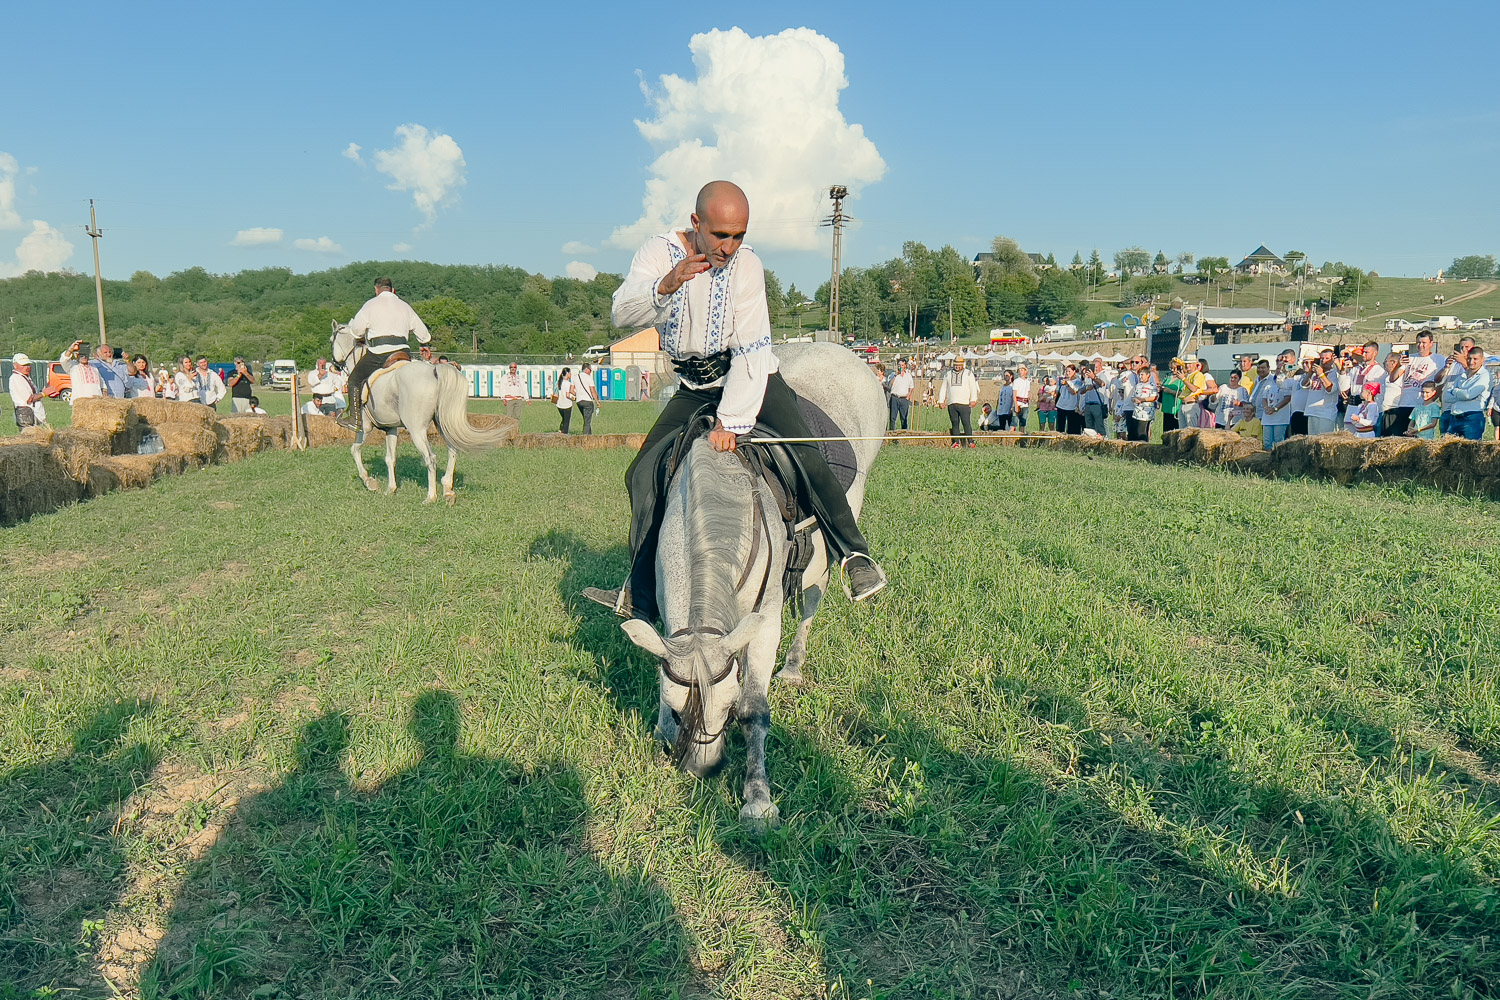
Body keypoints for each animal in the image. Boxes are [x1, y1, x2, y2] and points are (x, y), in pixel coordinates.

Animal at [328, 322, 516, 500]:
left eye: (331, 341)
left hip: (416, 429)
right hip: (443, 424)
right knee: (453, 450)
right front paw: (391, 489)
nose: (334, 366)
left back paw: (431, 497)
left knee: (430, 458)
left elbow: (355, 450)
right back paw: (447, 489)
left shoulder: (365, 428)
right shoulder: (391, 428)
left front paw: (369, 482)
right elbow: (390, 458)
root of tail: (434, 370)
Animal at [618, 344, 882, 827]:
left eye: (727, 709)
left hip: (825, 553)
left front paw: (757, 799)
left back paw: (796, 664)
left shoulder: (766, 621)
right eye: (674, 709)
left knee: (812, 601)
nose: (705, 770)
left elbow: (756, 708)